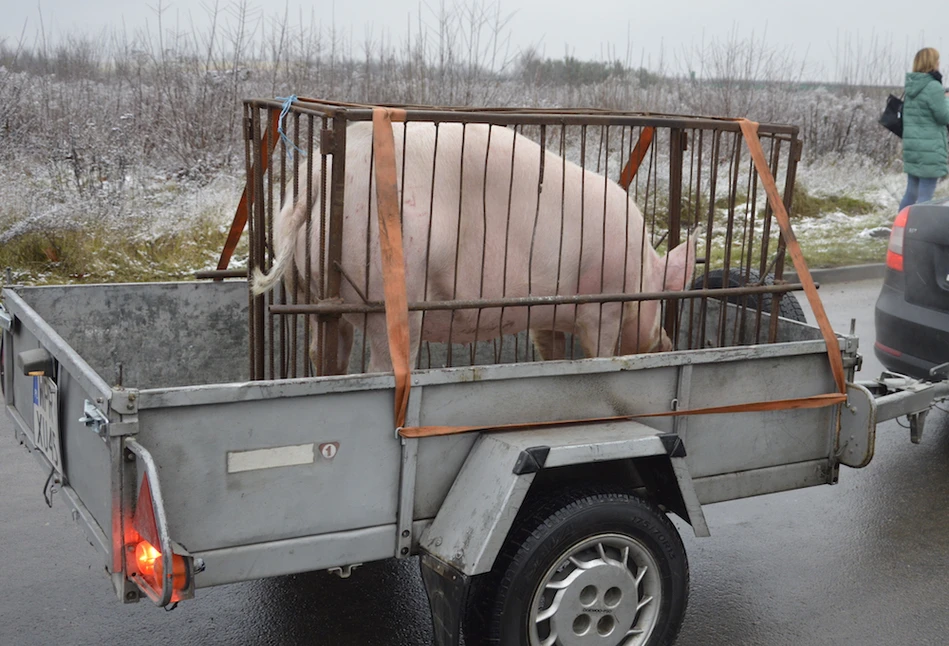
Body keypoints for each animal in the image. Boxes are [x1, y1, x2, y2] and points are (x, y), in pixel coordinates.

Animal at [252, 121, 696, 374]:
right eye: (665, 298)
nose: (669, 344)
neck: (641, 269)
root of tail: (318, 174)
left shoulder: (545, 308)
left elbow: (550, 349)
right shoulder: (601, 306)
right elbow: (599, 353)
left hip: (309, 287)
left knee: (323, 348)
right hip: (386, 286)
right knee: (381, 364)